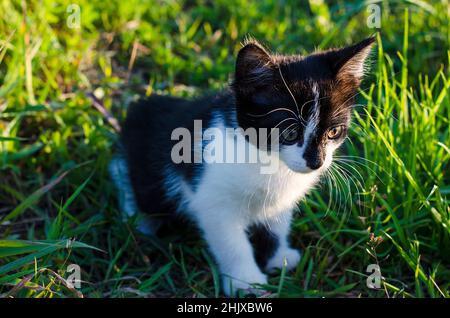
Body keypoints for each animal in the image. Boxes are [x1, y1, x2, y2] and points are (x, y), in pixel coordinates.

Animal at [110, 36, 376, 296]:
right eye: (290, 132)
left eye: (334, 131)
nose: (316, 162)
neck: (268, 161)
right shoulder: (212, 200)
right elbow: (232, 243)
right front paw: (247, 283)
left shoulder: (280, 201)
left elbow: (277, 224)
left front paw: (278, 259)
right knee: (124, 174)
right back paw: (139, 221)